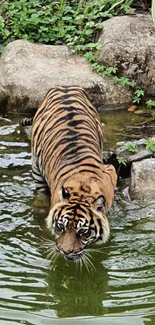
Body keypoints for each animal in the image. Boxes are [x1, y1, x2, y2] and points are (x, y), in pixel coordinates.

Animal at [30, 85, 117, 260]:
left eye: (83, 232)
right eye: (60, 227)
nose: (65, 252)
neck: (82, 193)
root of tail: (64, 86)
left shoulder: (111, 171)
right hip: (36, 163)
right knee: (41, 190)